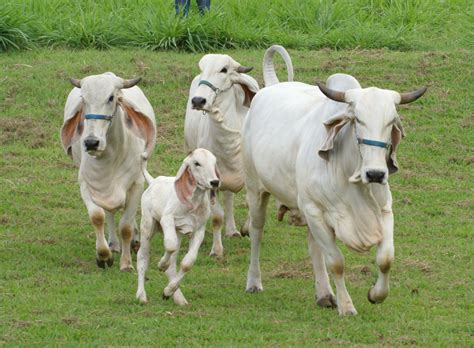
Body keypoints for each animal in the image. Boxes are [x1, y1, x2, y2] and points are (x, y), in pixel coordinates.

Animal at [60, 71, 157, 272]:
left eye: (111, 98)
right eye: (83, 99)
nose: (91, 142)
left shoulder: (136, 183)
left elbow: (126, 226)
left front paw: (126, 263)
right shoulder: (86, 184)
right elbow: (98, 216)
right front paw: (104, 256)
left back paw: (135, 240)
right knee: (110, 214)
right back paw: (113, 243)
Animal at [136, 148, 219, 306]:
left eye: (214, 162)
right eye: (197, 163)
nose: (215, 182)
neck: (193, 204)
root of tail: (153, 181)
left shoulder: (199, 230)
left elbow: (187, 263)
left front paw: (168, 291)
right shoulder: (167, 219)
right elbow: (170, 245)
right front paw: (161, 264)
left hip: (177, 232)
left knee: (172, 265)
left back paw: (177, 297)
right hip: (148, 226)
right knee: (142, 257)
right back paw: (141, 295)